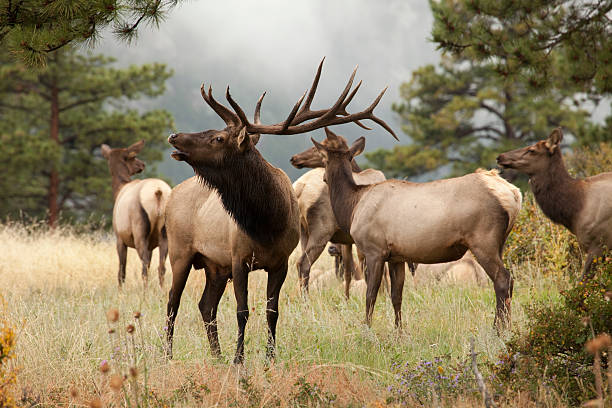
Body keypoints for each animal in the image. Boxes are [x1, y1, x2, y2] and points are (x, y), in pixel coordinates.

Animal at [100, 140, 171, 286]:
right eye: (133, 157)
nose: (142, 164)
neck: (119, 189)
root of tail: (158, 192)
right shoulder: (151, 245)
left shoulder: (119, 238)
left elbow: (121, 272)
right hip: (164, 233)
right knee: (161, 267)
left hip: (139, 230)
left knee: (144, 267)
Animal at [164, 56, 392, 364]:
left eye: (218, 138)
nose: (174, 136)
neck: (266, 223)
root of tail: (172, 195)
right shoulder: (238, 258)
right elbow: (242, 311)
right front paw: (239, 359)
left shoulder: (279, 261)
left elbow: (272, 311)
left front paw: (269, 358)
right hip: (180, 252)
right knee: (172, 303)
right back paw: (168, 356)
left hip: (214, 265)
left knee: (205, 306)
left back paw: (216, 356)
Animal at [310, 128, 520, 332]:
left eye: (323, 160)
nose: (323, 177)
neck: (353, 207)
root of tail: (514, 195)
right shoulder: (396, 256)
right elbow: (396, 296)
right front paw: (399, 333)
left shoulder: (374, 249)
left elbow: (371, 295)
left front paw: (367, 330)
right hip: (500, 243)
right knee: (507, 281)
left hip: (483, 240)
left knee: (502, 279)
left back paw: (499, 330)